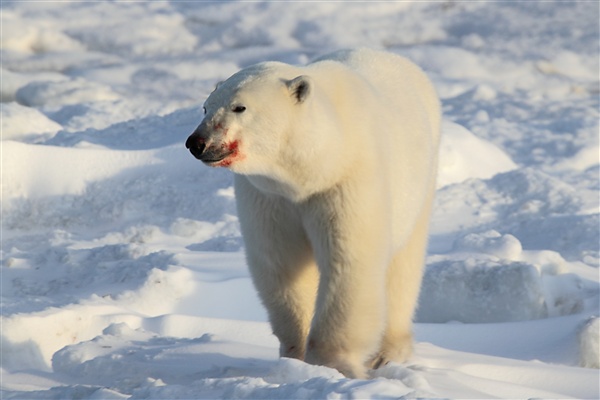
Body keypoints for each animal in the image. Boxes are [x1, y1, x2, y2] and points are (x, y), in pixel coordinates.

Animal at [185, 47, 442, 378]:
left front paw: (333, 364)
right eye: (205, 107)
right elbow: (281, 264)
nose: (197, 142)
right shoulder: (269, 197)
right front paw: (294, 354)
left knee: (403, 265)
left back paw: (388, 353)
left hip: (420, 180)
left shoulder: (345, 182)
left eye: (239, 107)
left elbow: (348, 262)